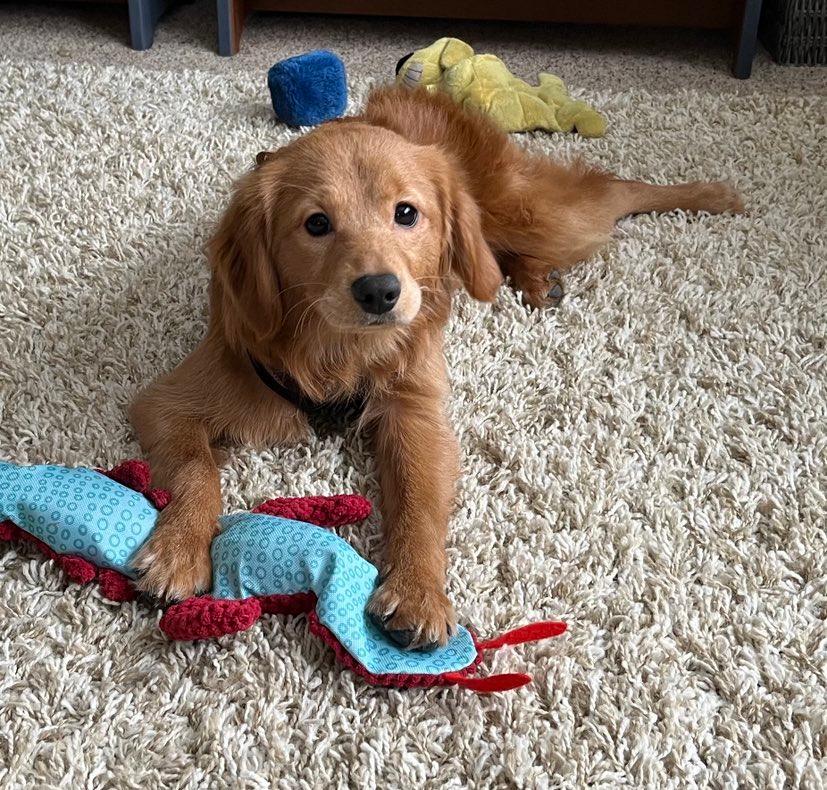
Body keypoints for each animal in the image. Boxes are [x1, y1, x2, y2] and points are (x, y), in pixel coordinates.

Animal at [131, 85, 744, 648]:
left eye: (406, 213)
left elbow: (418, 502)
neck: (338, 351)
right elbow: (197, 470)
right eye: (316, 224)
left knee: (613, 191)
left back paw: (711, 193)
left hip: (536, 214)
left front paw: (419, 589)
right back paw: (535, 277)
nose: (380, 291)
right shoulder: (172, 399)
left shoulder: (416, 412)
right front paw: (179, 549)